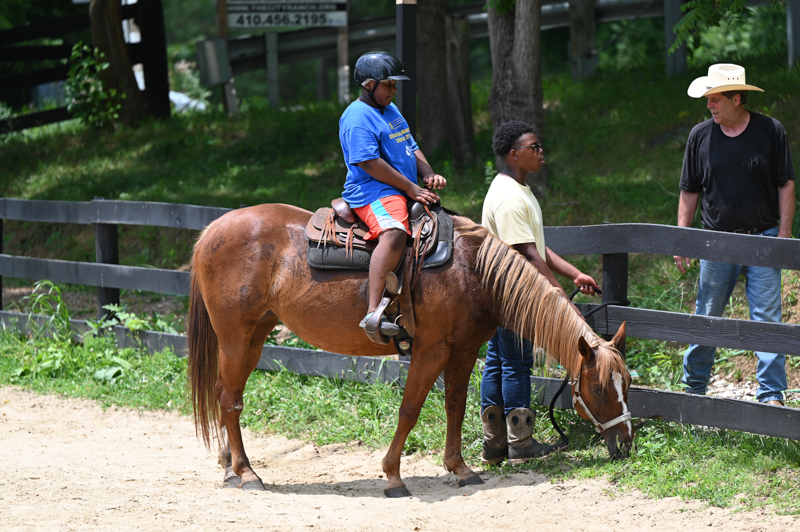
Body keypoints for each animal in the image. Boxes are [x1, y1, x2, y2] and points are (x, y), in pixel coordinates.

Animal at [188, 205, 632, 498]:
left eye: (626, 384)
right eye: (597, 389)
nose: (626, 443)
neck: (471, 272)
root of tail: (212, 230)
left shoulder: (463, 351)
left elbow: (456, 406)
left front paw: (460, 468)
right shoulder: (431, 351)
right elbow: (410, 409)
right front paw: (393, 476)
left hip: (254, 336)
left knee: (226, 394)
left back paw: (229, 466)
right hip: (235, 338)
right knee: (229, 399)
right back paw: (247, 473)